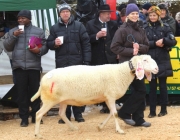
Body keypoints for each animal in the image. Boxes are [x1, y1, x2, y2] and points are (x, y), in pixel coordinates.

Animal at [30, 54, 158, 138]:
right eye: (145, 60)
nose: (157, 69)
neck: (122, 72)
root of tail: (43, 79)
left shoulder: (107, 98)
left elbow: (112, 113)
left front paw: (100, 127)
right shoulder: (111, 96)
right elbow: (115, 114)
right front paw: (119, 130)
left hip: (63, 100)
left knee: (61, 113)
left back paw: (73, 128)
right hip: (49, 100)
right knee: (38, 114)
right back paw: (37, 134)